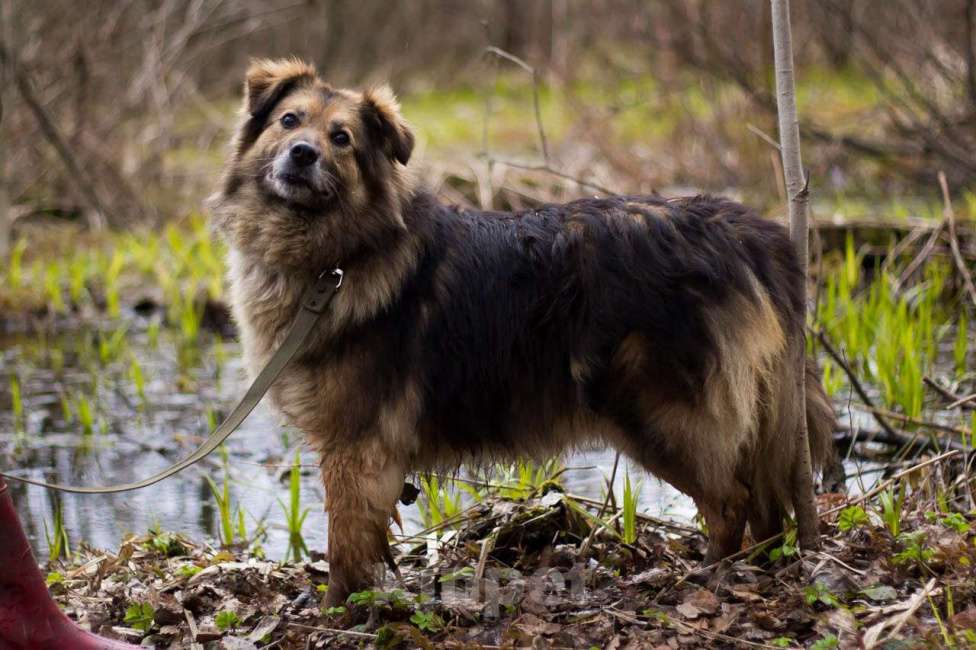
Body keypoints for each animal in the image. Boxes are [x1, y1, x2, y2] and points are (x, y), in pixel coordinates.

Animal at [210, 58, 836, 604]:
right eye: (289, 121)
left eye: (341, 138)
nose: (302, 153)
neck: (339, 255)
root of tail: (743, 229)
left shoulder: (354, 446)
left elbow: (344, 548)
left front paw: (337, 613)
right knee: (762, 508)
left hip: (663, 415)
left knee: (732, 502)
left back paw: (709, 575)